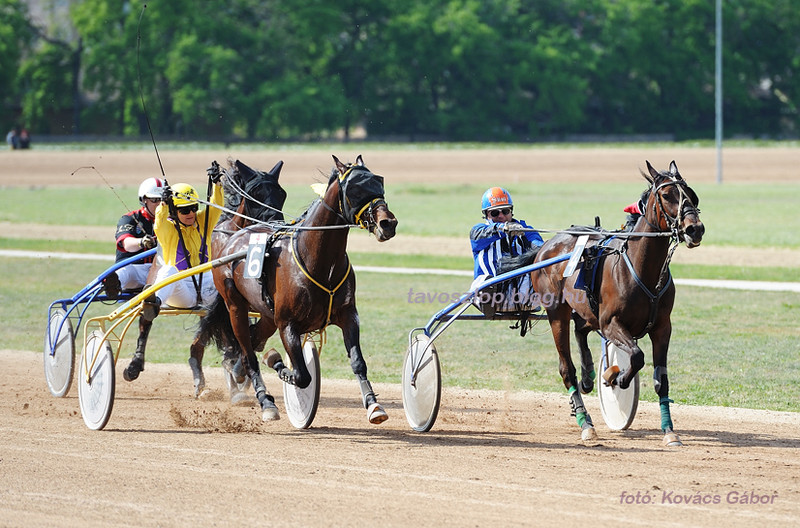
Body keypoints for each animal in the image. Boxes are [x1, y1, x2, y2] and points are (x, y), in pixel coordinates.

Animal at [188, 158, 288, 400]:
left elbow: (258, 334)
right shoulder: (228, 296)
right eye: (255, 194)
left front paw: (240, 367)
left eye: (281, 194)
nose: (275, 223)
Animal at [198, 155, 398, 422]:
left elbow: (358, 362)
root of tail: (232, 237)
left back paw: (237, 370)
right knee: (249, 352)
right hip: (235, 307)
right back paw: (265, 401)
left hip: (267, 314)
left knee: (252, 340)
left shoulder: (348, 315)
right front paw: (276, 362)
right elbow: (302, 375)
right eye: (355, 189)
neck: (318, 261)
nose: (388, 223)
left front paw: (374, 405)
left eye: (379, 183)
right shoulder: (288, 325)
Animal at [532, 161, 708, 446]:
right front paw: (614, 376)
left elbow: (661, 380)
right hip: (557, 312)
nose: (695, 229)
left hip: (585, 310)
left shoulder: (662, 328)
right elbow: (636, 356)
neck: (643, 268)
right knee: (566, 368)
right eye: (666, 195)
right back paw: (586, 423)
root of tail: (549, 245)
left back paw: (588, 377)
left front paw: (669, 431)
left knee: (581, 330)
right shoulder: (611, 323)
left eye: (692, 195)